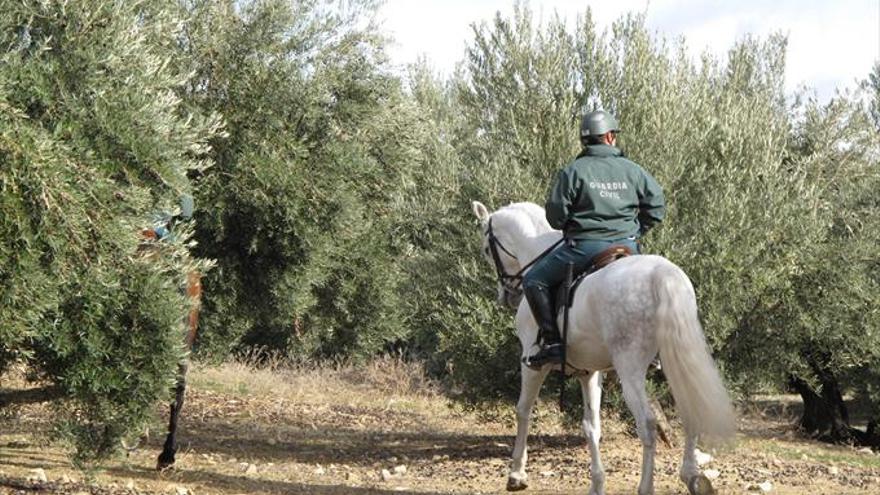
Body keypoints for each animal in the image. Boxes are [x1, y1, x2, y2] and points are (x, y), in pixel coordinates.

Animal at [474, 202, 736, 495]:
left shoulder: (531, 364)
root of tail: (663, 274)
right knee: (689, 407)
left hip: (630, 368)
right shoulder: (589, 371)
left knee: (647, 424)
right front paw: (597, 484)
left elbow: (523, 410)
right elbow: (592, 426)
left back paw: (647, 486)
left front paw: (517, 473)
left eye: (487, 249)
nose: (507, 295)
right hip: (676, 359)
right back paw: (693, 476)